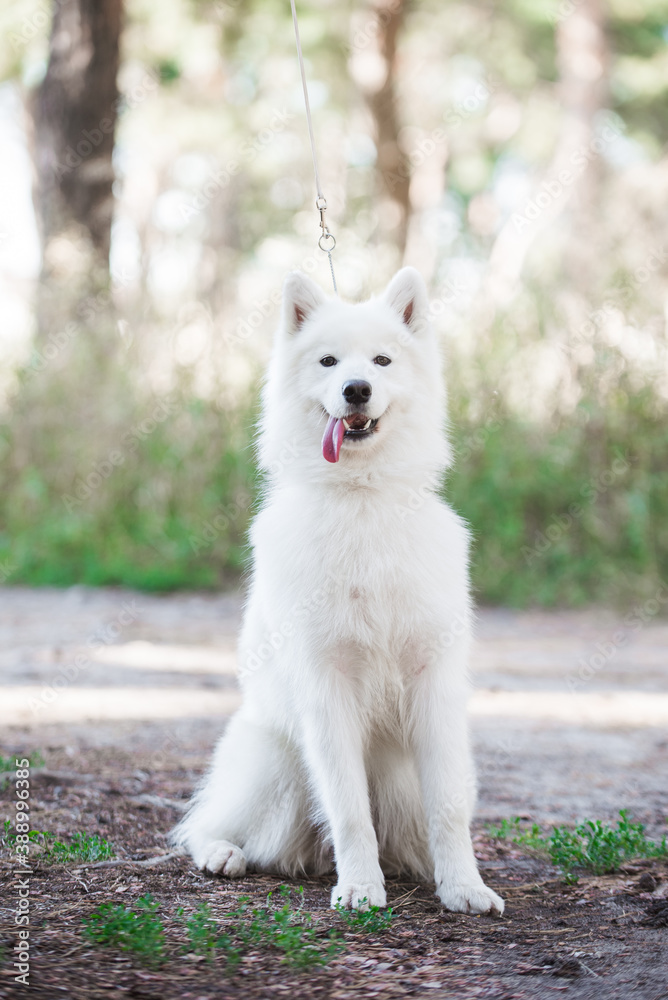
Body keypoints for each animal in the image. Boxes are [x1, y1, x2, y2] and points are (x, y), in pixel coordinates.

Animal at [172, 266, 500, 916]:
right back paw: (223, 852)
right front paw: (360, 888)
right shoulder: (327, 687)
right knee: (203, 824)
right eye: (327, 361)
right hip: (276, 765)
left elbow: (448, 809)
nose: (356, 389)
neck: (362, 498)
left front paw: (464, 887)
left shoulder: (433, 684)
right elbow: (349, 810)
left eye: (382, 360)